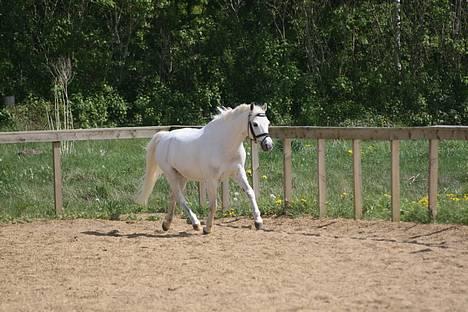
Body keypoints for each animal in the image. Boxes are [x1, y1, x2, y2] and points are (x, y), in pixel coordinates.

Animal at [135, 103, 272, 234]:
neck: (223, 144)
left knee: (173, 196)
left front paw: (258, 222)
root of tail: (164, 136)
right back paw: (195, 224)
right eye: (255, 124)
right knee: (179, 197)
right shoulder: (211, 180)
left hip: (182, 176)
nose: (268, 145)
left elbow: (250, 192)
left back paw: (166, 224)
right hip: (170, 174)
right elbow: (213, 204)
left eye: (268, 123)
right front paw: (207, 228)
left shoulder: (238, 172)